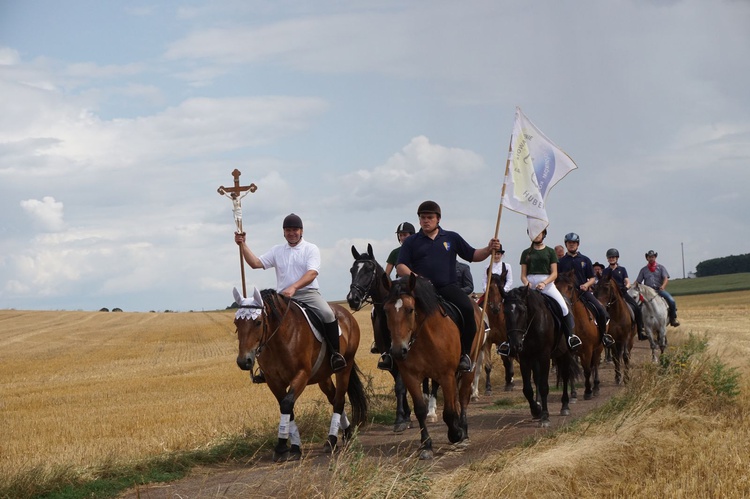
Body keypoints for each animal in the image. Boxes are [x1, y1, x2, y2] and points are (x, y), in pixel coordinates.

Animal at [232, 288, 368, 462]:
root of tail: (346, 314)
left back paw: (331, 440)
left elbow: (287, 404)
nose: (244, 361)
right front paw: (294, 447)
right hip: (323, 377)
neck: (279, 338)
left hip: (345, 368)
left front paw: (281, 447)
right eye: (236, 323)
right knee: (334, 398)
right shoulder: (273, 381)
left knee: (339, 400)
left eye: (258, 322)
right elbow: (286, 408)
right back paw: (347, 432)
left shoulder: (301, 374)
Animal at [382, 274, 482, 460]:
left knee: (463, 397)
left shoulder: (446, 375)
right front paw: (426, 445)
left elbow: (448, 412)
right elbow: (421, 410)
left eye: (410, 309)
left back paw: (463, 432)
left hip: (469, 367)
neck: (422, 337)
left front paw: (455, 434)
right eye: (386, 310)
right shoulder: (410, 376)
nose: (398, 350)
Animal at [506, 288, 580, 428]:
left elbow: (544, 386)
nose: (515, 345)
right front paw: (536, 410)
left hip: (565, 353)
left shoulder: (544, 357)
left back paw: (565, 406)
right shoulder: (525, 358)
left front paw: (545, 417)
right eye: (505, 311)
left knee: (566, 376)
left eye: (522, 311)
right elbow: (527, 389)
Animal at [556, 272, 608, 400]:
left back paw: (596, 387)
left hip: (598, 347)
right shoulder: (570, 351)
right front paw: (573, 393)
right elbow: (570, 372)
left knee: (595, 364)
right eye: (556, 287)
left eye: (570, 287)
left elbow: (587, 370)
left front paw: (588, 391)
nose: (563, 305)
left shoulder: (587, 349)